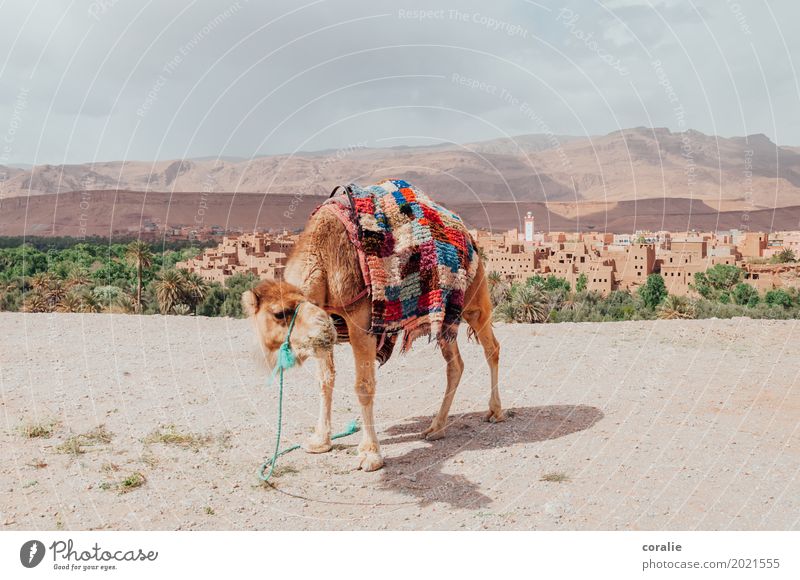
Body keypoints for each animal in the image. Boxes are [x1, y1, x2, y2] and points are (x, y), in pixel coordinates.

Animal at [244, 182, 504, 472]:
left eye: (279, 314)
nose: (265, 355)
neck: (324, 258)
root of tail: (467, 234)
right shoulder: (325, 322)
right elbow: (325, 380)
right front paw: (321, 440)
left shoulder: (361, 324)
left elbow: (364, 386)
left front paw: (370, 454)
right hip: (443, 314)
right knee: (455, 364)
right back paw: (436, 427)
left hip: (474, 298)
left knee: (491, 348)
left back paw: (495, 411)